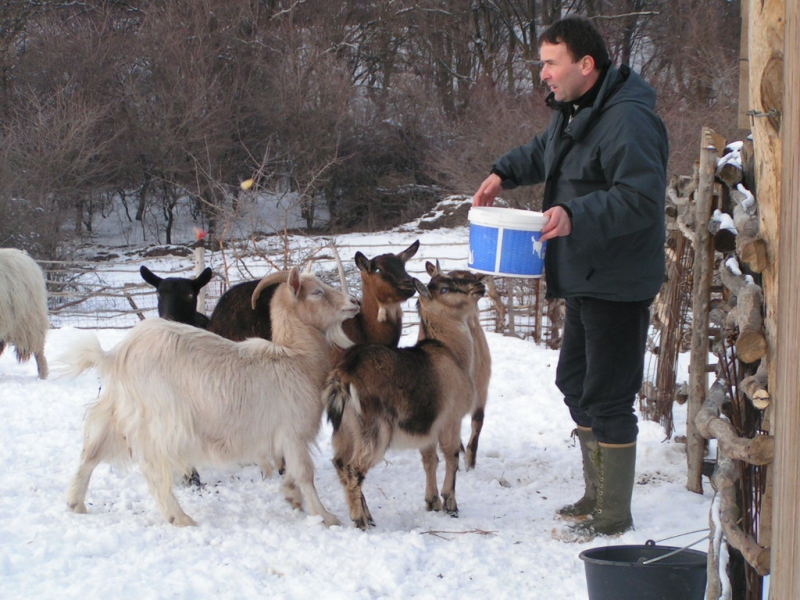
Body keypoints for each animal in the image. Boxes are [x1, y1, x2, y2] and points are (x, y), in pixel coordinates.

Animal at [62, 270, 360, 528]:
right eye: (317, 292)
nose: (354, 302)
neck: (295, 356)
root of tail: (115, 356)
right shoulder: (293, 432)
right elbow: (305, 474)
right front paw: (325, 516)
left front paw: (291, 496)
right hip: (162, 421)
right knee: (153, 469)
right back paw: (180, 518)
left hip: (115, 412)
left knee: (91, 452)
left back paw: (76, 503)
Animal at [324, 274, 476, 528]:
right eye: (445, 288)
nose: (479, 287)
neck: (451, 352)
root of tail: (344, 376)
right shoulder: (451, 419)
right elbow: (451, 456)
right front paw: (451, 506)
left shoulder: (427, 427)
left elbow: (430, 460)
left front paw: (432, 503)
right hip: (375, 429)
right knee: (354, 468)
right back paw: (360, 520)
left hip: (345, 428)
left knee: (340, 464)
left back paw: (367, 515)